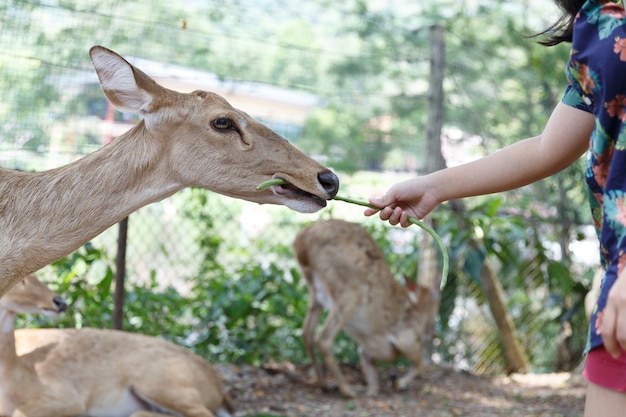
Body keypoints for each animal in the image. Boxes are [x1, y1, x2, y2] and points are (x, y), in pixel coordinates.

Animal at [292, 218, 434, 396]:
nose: (431, 329)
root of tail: (302, 240)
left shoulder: (367, 350)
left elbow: (373, 382)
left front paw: (376, 388)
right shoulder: (406, 339)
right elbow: (421, 364)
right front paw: (396, 383)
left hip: (315, 293)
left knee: (307, 333)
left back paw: (326, 385)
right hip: (349, 293)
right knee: (324, 338)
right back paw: (347, 390)